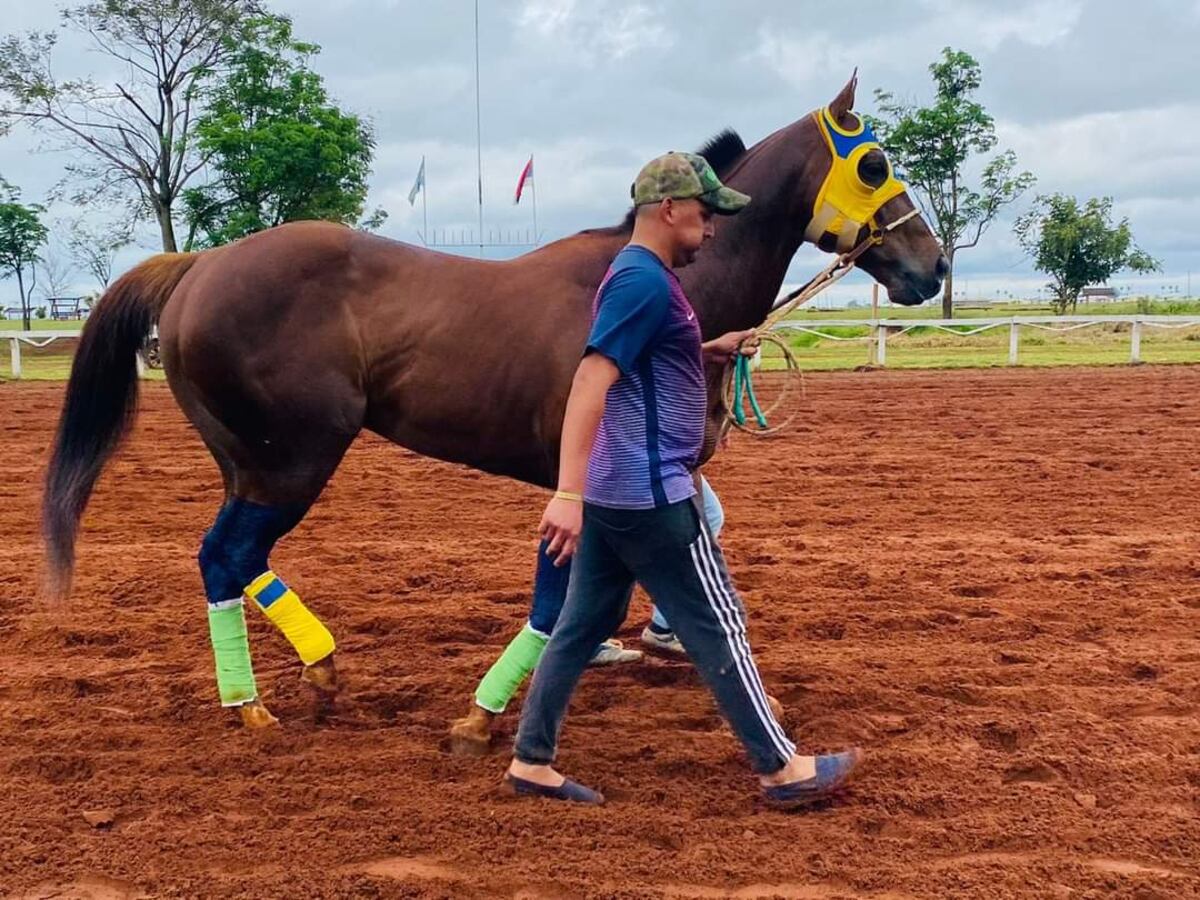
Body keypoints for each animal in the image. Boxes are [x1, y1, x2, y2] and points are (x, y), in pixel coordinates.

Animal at [43, 75, 947, 726]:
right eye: (874, 164)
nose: (932, 266)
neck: (668, 283)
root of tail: (198, 265)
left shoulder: (656, 474)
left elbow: (683, 551)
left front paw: (654, 643)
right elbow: (573, 591)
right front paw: (493, 709)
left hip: (250, 464)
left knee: (235, 558)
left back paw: (308, 672)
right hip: (290, 460)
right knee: (224, 556)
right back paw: (261, 699)